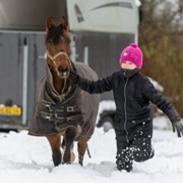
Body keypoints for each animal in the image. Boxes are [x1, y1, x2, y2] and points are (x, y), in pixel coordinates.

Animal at [28, 17, 100, 167]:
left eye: (68, 40)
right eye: (49, 42)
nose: (63, 68)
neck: (60, 94)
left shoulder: (73, 126)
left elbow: (67, 155)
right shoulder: (48, 129)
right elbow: (57, 155)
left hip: (86, 131)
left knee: (81, 152)